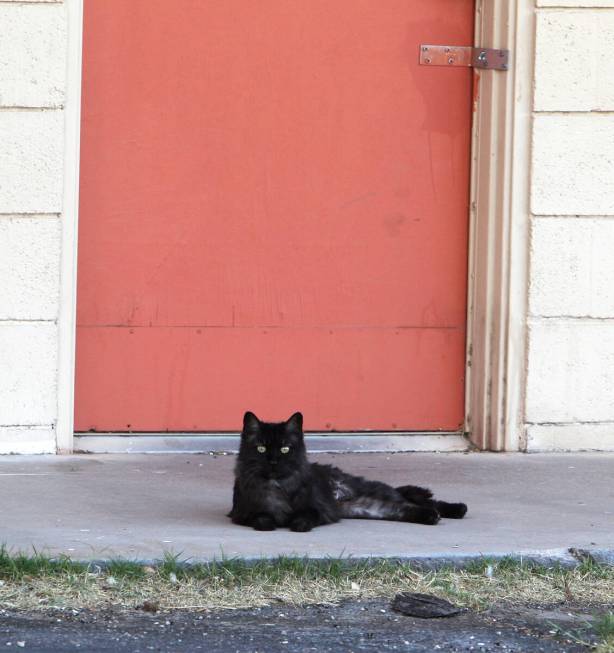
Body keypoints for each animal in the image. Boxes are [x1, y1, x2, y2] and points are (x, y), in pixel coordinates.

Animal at [229, 412, 470, 528]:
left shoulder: (318, 509)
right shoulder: (243, 513)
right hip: (367, 508)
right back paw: (433, 516)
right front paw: (273, 522)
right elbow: (262, 519)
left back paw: (456, 509)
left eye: (285, 448)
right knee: (403, 508)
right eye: (261, 448)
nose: (273, 461)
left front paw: (295, 523)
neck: (278, 487)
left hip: (373, 492)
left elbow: (304, 518)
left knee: (416, 499)